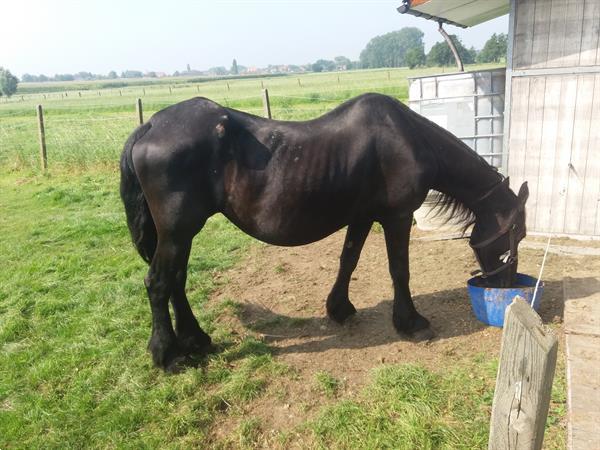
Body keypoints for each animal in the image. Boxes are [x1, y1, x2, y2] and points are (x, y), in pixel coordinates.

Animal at [119, 93, 528, 370]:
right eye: (517, 234)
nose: (505, 284)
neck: (407, 139)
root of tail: (150, 126)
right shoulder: (396, 217)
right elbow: (399, 270)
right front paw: (411, 323)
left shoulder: (363, 217)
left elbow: (348, 260)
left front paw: (340, 309)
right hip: (178, 231)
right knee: (159, 282)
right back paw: (167, 355)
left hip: (179, 234)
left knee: (176, 281)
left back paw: (196, 341)